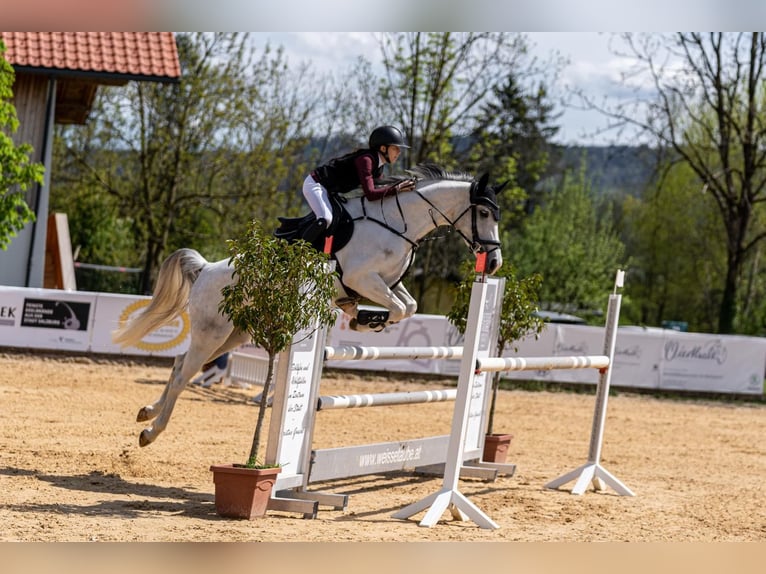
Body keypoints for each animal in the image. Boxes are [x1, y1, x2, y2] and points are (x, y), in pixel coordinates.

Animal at [112, 163, 505, 447]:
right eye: (485, 214)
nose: (494, 263)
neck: (398, 225)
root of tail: (207, 269)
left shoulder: (389, 283)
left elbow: (407, 307)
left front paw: (359, 315)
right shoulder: (364, 279)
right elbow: (395, 308)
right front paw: (364, 319)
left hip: (232, 334)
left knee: (181, 363)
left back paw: (147, 413)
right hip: (212, 332)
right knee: (184, 374)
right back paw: (151, 432)